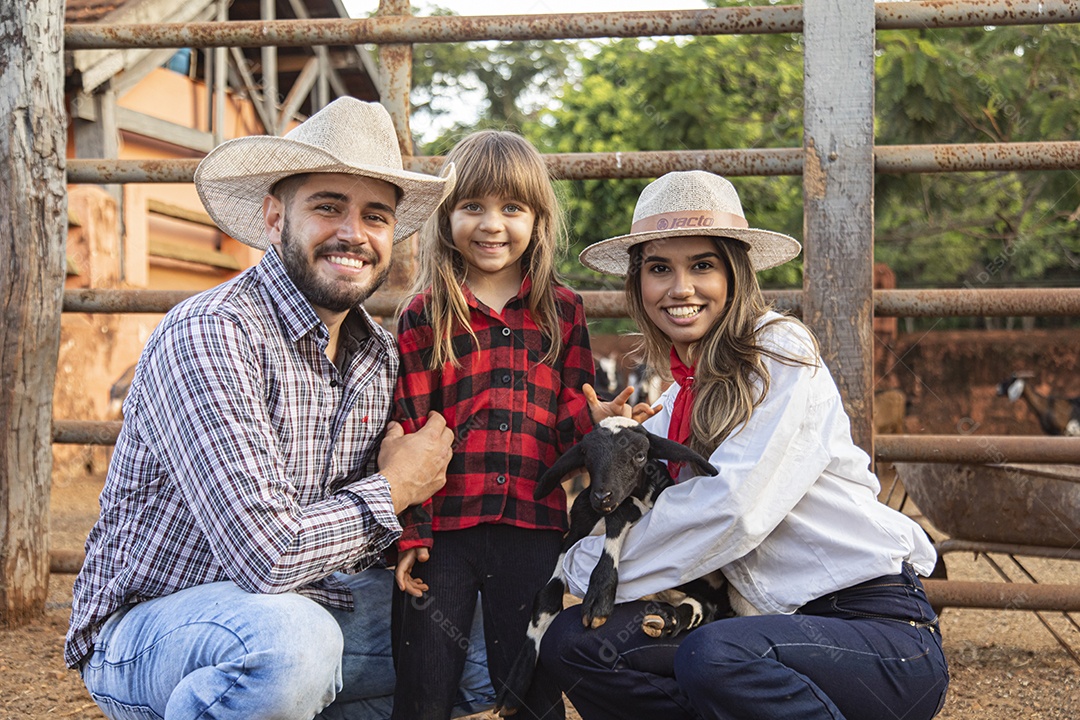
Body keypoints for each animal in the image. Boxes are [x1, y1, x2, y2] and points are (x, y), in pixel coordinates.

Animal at [496, 416, 734, 716]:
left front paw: (599, 597)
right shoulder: (573, 536)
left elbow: (625, 509)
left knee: (707, 605)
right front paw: (514, 687)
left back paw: (670, 619)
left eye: (641, 456)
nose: (602, 496)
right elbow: (546, 599)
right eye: (586, 455)